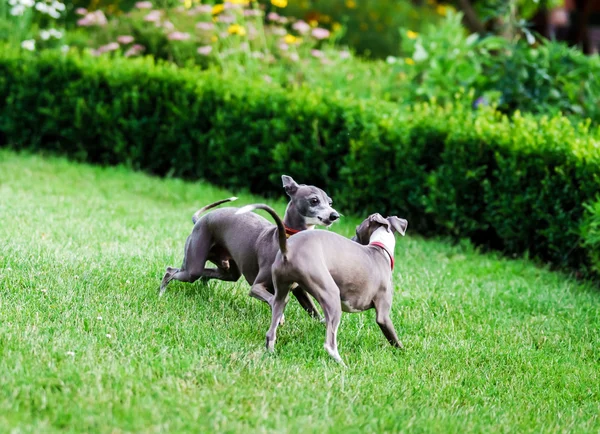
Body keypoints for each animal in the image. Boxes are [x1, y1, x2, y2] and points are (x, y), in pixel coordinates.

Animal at [159, 175, 340, 320]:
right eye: (314, 200)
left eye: (330, 202)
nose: (335, 215)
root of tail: (200, 220)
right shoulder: (257, 287)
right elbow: (270, 298)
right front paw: (280, 318)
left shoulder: (299, 290)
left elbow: (314, 311)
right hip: (193, 265)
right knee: (173, 271)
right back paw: (161, 293)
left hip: (228, 270)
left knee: (208, 274)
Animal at [237, 204, 406, 366]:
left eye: (357, 231)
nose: (352, 239)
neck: (380, 249)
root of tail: (287, 249)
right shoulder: (383, 315)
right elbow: (393, 337)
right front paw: (404, 353)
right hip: (331, 294)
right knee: (329, 344)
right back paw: (343, 365)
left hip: (281, 292)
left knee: (271, 330)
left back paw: (271, 354)